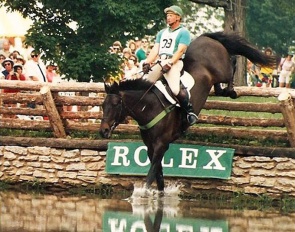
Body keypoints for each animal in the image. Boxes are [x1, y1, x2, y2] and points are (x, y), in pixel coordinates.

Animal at [99, 31, 278, 193]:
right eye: (102, 105)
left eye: (115, 104)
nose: (103, 131)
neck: (149, 107)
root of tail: (205, 37)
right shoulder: (150, 147)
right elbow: (159, 177)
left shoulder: (161, 145)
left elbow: (150, 177)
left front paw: (143, 196)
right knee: (219, 85)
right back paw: (226, 91)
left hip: (222, 69)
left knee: (232, 62)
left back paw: (232, 90)